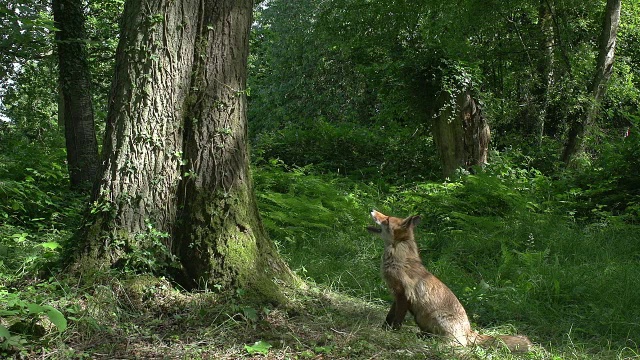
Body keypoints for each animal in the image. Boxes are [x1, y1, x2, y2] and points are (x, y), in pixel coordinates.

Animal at [368, 208, 532, 352]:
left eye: (387, 220)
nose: (372, 210)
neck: (400, 260)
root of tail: (469, 330)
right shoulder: (396, 295)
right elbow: (389, 317)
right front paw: (383, 329)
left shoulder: (404, 295)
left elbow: (396, 321)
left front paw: (392, 333)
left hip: (437, 317)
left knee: (458, 344)